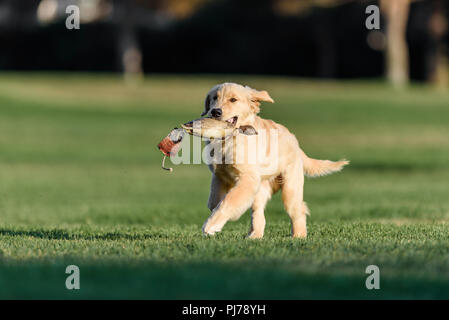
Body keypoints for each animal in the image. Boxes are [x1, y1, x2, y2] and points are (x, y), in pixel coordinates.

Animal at [200, 82, 346, 238]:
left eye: (233, 100)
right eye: (214, 98)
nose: (215, 112)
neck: (228, 139)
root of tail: (296, 143)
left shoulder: (248, 179)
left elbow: (228, 202)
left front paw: (211, 226)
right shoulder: (219, 176)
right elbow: (214, 202)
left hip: (290, 189)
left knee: (298, 210)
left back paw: (298, 235)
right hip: (261, 189)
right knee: (258, 213)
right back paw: (254, 236)